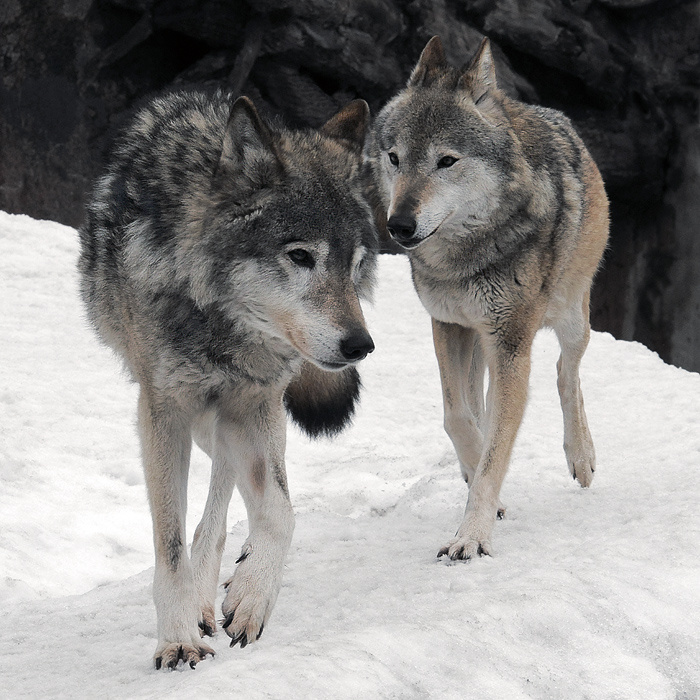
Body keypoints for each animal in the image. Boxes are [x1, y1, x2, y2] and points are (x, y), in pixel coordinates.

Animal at [77, 87, 378, 668]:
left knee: (234, 495)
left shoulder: (251, 403)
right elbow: (170, 545)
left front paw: (253, 597)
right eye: (301, 256)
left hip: (248, 415)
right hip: (198, 420)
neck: (222, 319)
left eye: (354, 263)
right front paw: (177, 640)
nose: (360, 345)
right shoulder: (163, 412)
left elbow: (282, 514)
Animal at [366, 37, 608, 564]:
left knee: (566, 372)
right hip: (481, 339)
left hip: (568, 318)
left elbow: (498, 442)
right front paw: (482, 488)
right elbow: (459, 417)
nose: (399, 225)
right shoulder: (448, 325)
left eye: (446, 161)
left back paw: (582, 457)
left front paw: (471, 534)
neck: (463, 259)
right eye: (394, 157)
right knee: (484, 398)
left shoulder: (511, 344)